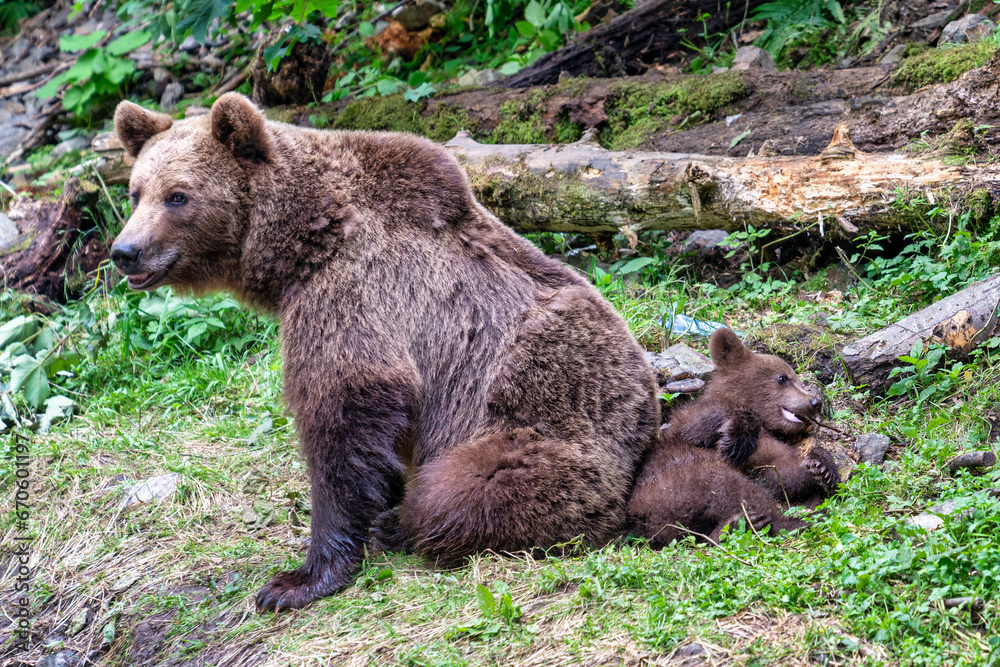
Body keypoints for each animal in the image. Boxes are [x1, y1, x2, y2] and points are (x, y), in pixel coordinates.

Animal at [109, 93, 661, 611]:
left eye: (178, 195)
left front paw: (297, 580)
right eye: (135, 192)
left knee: (464, 489)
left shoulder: (357, 293)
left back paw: (402, 524)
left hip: (548, 428)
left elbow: (344, 415)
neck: (304, 244)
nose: (124, 251)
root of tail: (647, 430)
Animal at [627, 327, 840, 546]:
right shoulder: (686, 423)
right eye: (783, 378)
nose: (815, 402)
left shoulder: (768, 453)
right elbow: (696, 426)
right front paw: (734, 443)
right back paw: (749, 522)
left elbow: (779, 475)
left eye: (796, 378)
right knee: (733, 489)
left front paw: (821, 468)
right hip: (673, 487)